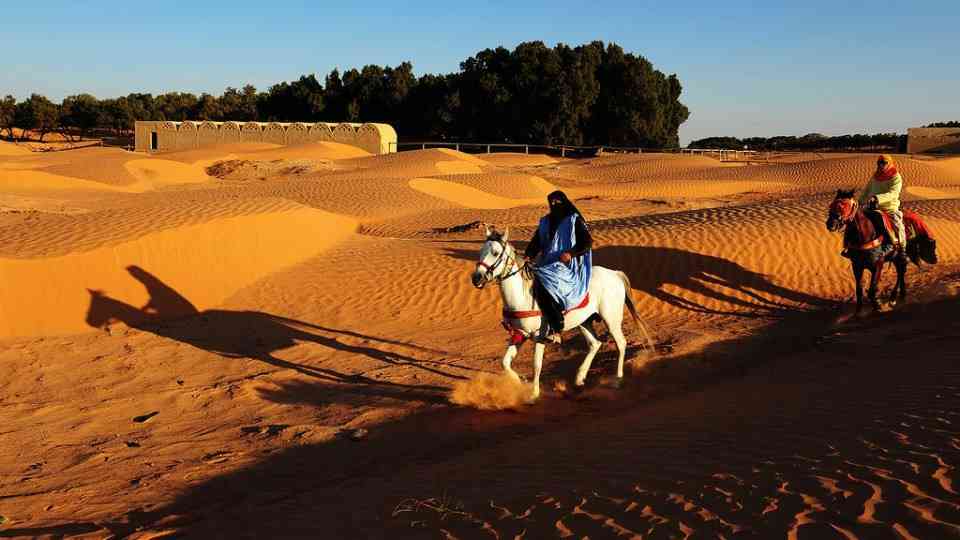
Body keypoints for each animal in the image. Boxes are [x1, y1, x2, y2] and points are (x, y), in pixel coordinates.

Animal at [470, 225, 652, 400]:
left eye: (495, 253)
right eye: (480, 252)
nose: (476, 278)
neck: (522, 295)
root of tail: (615, 273)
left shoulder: (540, 336)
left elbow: (537, 365)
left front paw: (534, 394)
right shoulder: (519, 334)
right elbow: (505, 362)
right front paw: (519, 381)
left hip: (611, 320)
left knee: (621, 343)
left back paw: (617, 380)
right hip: (584, 322)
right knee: (595, 344)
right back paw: (580, 378)